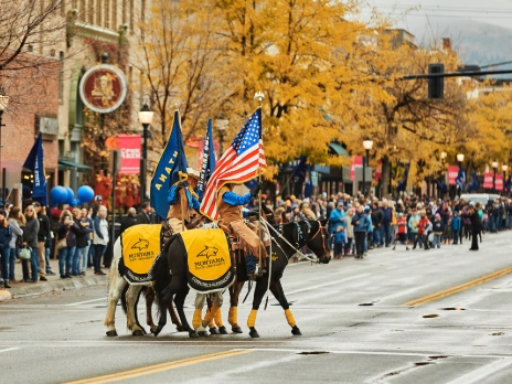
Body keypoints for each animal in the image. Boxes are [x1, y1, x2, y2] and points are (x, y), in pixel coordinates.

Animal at [150, 220, 330, 338]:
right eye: (326, 234)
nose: (328, 257)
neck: (276, 243)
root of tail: (175, 237)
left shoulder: (273, 280)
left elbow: (284, 301)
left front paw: (295, 327)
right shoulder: (264, 280)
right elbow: (256, 301)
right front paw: (252, 328)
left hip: (185, 282)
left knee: (178, 301)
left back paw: (191, 330)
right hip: (180, 279)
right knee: (166, 296)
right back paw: (160, 327)